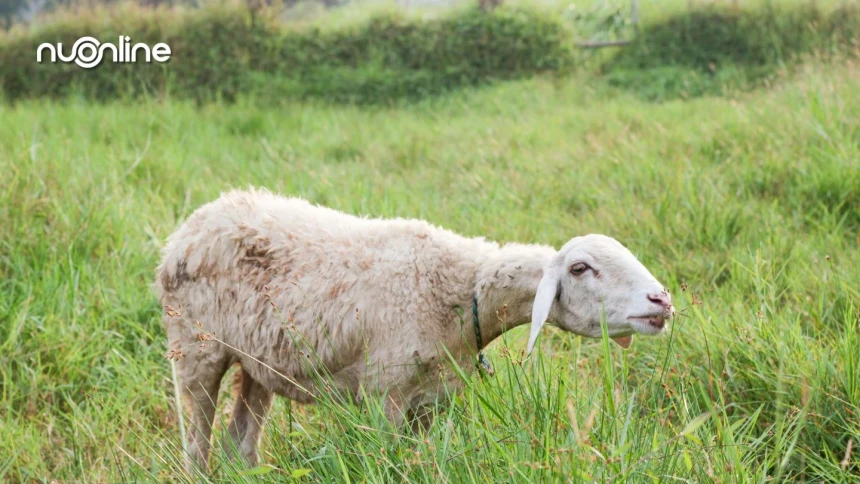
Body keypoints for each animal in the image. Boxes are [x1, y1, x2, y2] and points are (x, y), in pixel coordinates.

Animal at [155, 188, 676, 468]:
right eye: (580, 268)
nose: (663, 301)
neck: (461, 293)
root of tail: (192, 224)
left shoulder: (431, 400)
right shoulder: (383, 393)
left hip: (257, 361)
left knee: (240, 439)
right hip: (194, 347)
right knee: (196, 441)